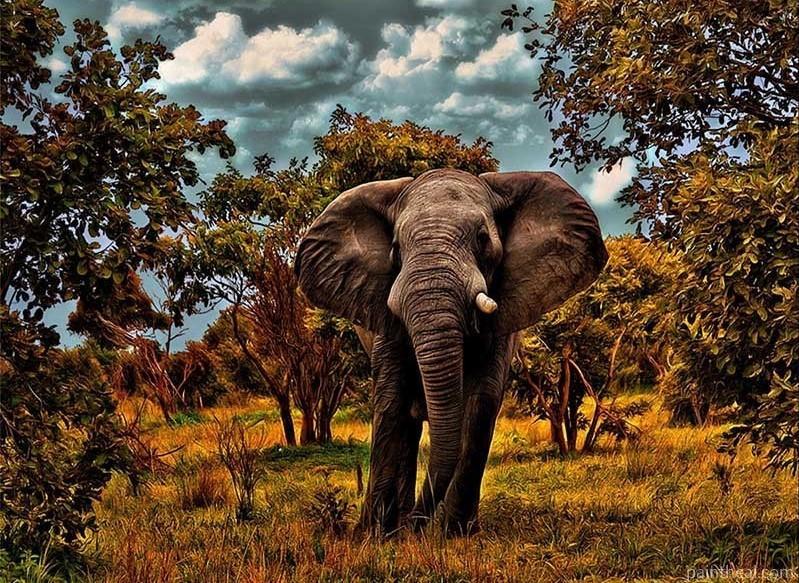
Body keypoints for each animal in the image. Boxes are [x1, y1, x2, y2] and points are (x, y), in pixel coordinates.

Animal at [295, 168, 608, 536]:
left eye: (483, 238)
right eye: (396, 248)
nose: (417, 526)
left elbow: (481, 401)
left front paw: (455, 534)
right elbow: (391, 400)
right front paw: (377, 536)